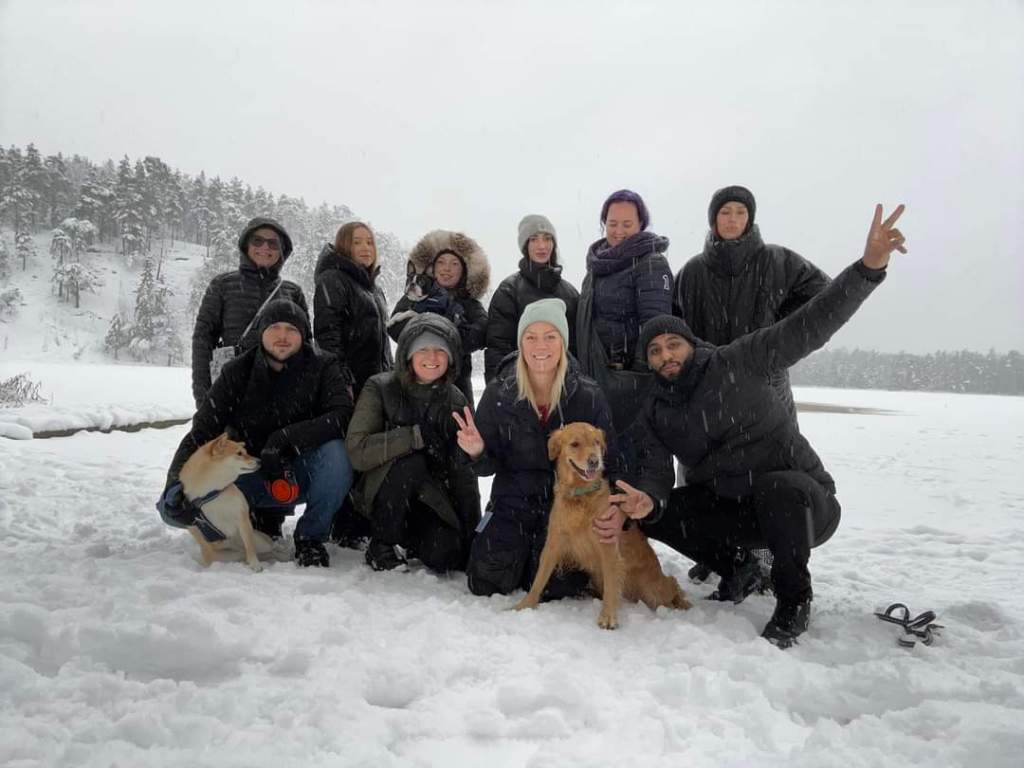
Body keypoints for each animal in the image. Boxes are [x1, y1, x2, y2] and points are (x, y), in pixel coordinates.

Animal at [179, 433, 280, 572]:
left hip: (261, 542)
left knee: (271, 550)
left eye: (246, 452)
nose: (260, 461)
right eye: (239, 453)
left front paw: (255, 565)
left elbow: (249, 547)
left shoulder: (242, 518)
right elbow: (207, 551)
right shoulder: (195, 526)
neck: (212, 492)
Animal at [514, 422, 691, 629]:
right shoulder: (554, 543)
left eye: (596, 442)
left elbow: (611, 587)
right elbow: (539, 579)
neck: (581, 495)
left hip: (653, 590)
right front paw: (523, 606)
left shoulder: (608, 546)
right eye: (575, 444)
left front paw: (608, 617)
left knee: (672, 585)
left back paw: (682, 603)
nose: (594, 461)